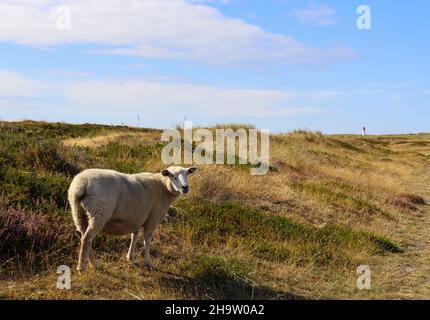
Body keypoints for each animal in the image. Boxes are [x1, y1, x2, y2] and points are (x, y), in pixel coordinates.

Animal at [67, 165, 198, 272]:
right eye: (172, 176)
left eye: (187, 174)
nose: (185, 187)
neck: (163, 187)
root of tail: (82, 184)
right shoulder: (152, 219)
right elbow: (147, 241)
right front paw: (148, 263)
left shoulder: (136, 218)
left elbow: (134, 237)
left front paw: (130, 258)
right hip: (99, 213)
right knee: (87, 239)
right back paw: (82, 268)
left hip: (78, 212)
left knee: (83, 237)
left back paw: (93, 264)